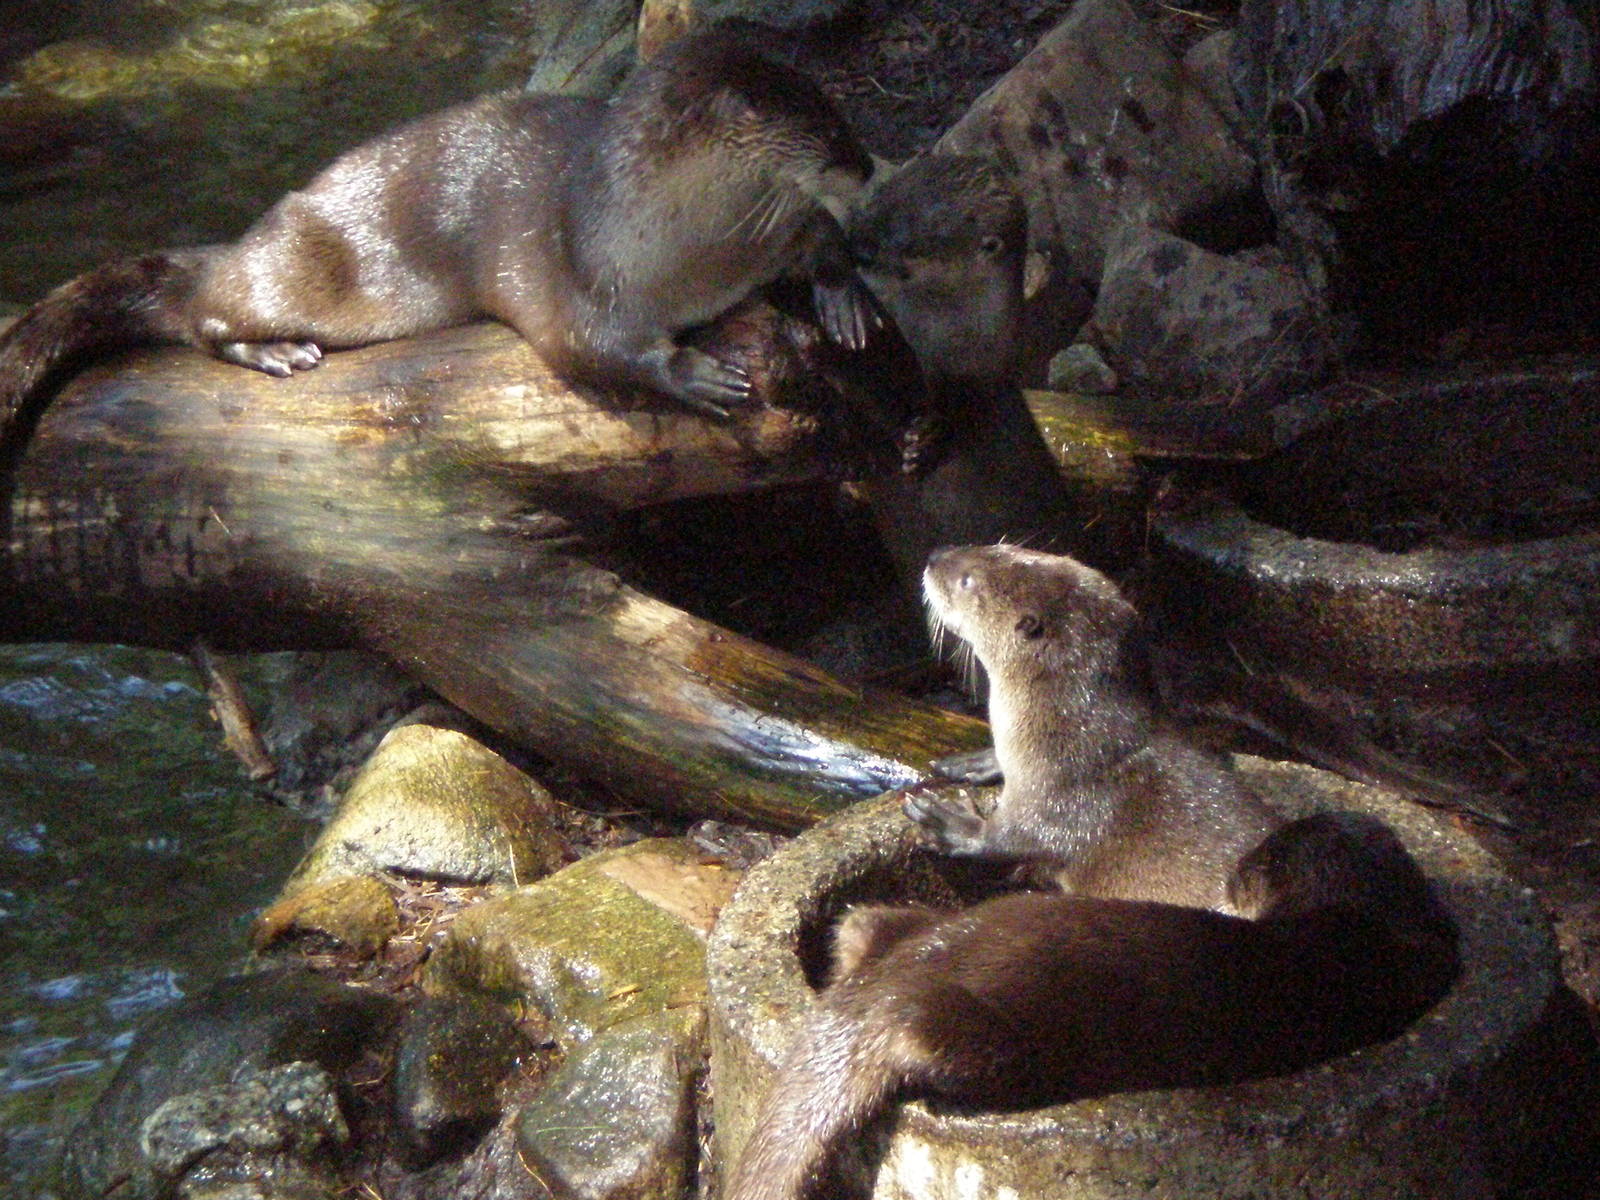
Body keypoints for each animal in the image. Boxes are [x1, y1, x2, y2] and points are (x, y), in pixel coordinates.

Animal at [0, 30, 876, 456]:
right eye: (831, 133)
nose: (868, 166)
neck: (694, 252)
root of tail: (238, 243)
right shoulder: (586, 282)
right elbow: (595, 351)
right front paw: (696, 374)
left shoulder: (763, 237)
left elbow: (819, 233)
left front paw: (848, 299)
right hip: (284, 267)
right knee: (206, 316)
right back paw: (276, 351)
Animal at [909, 543, 1278, 911]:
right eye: (1001, 545)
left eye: (967, 581)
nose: (934, 556)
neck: (1065, 732)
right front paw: (980, 760)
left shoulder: (1062, 795)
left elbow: (1014, 839)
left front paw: (951, 825)